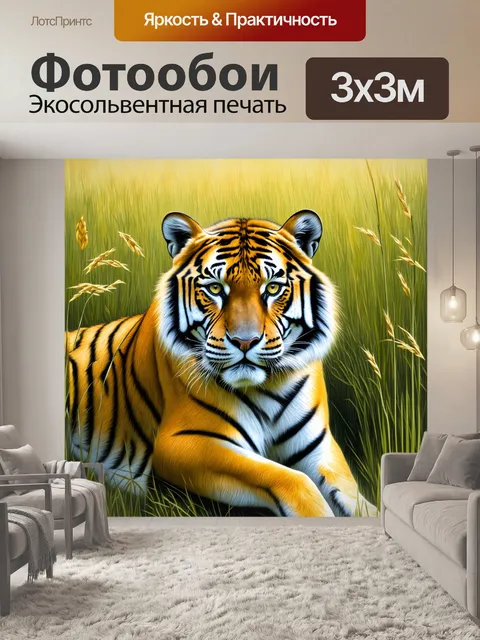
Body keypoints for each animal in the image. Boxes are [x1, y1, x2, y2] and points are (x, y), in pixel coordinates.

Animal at [66, 209, 377, 517]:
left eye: (273, 287)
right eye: (215, 288)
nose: (244, 341)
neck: (269, 386)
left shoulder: (318, 448)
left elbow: (356, 499)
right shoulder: (183, 442)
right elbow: (290, 478)